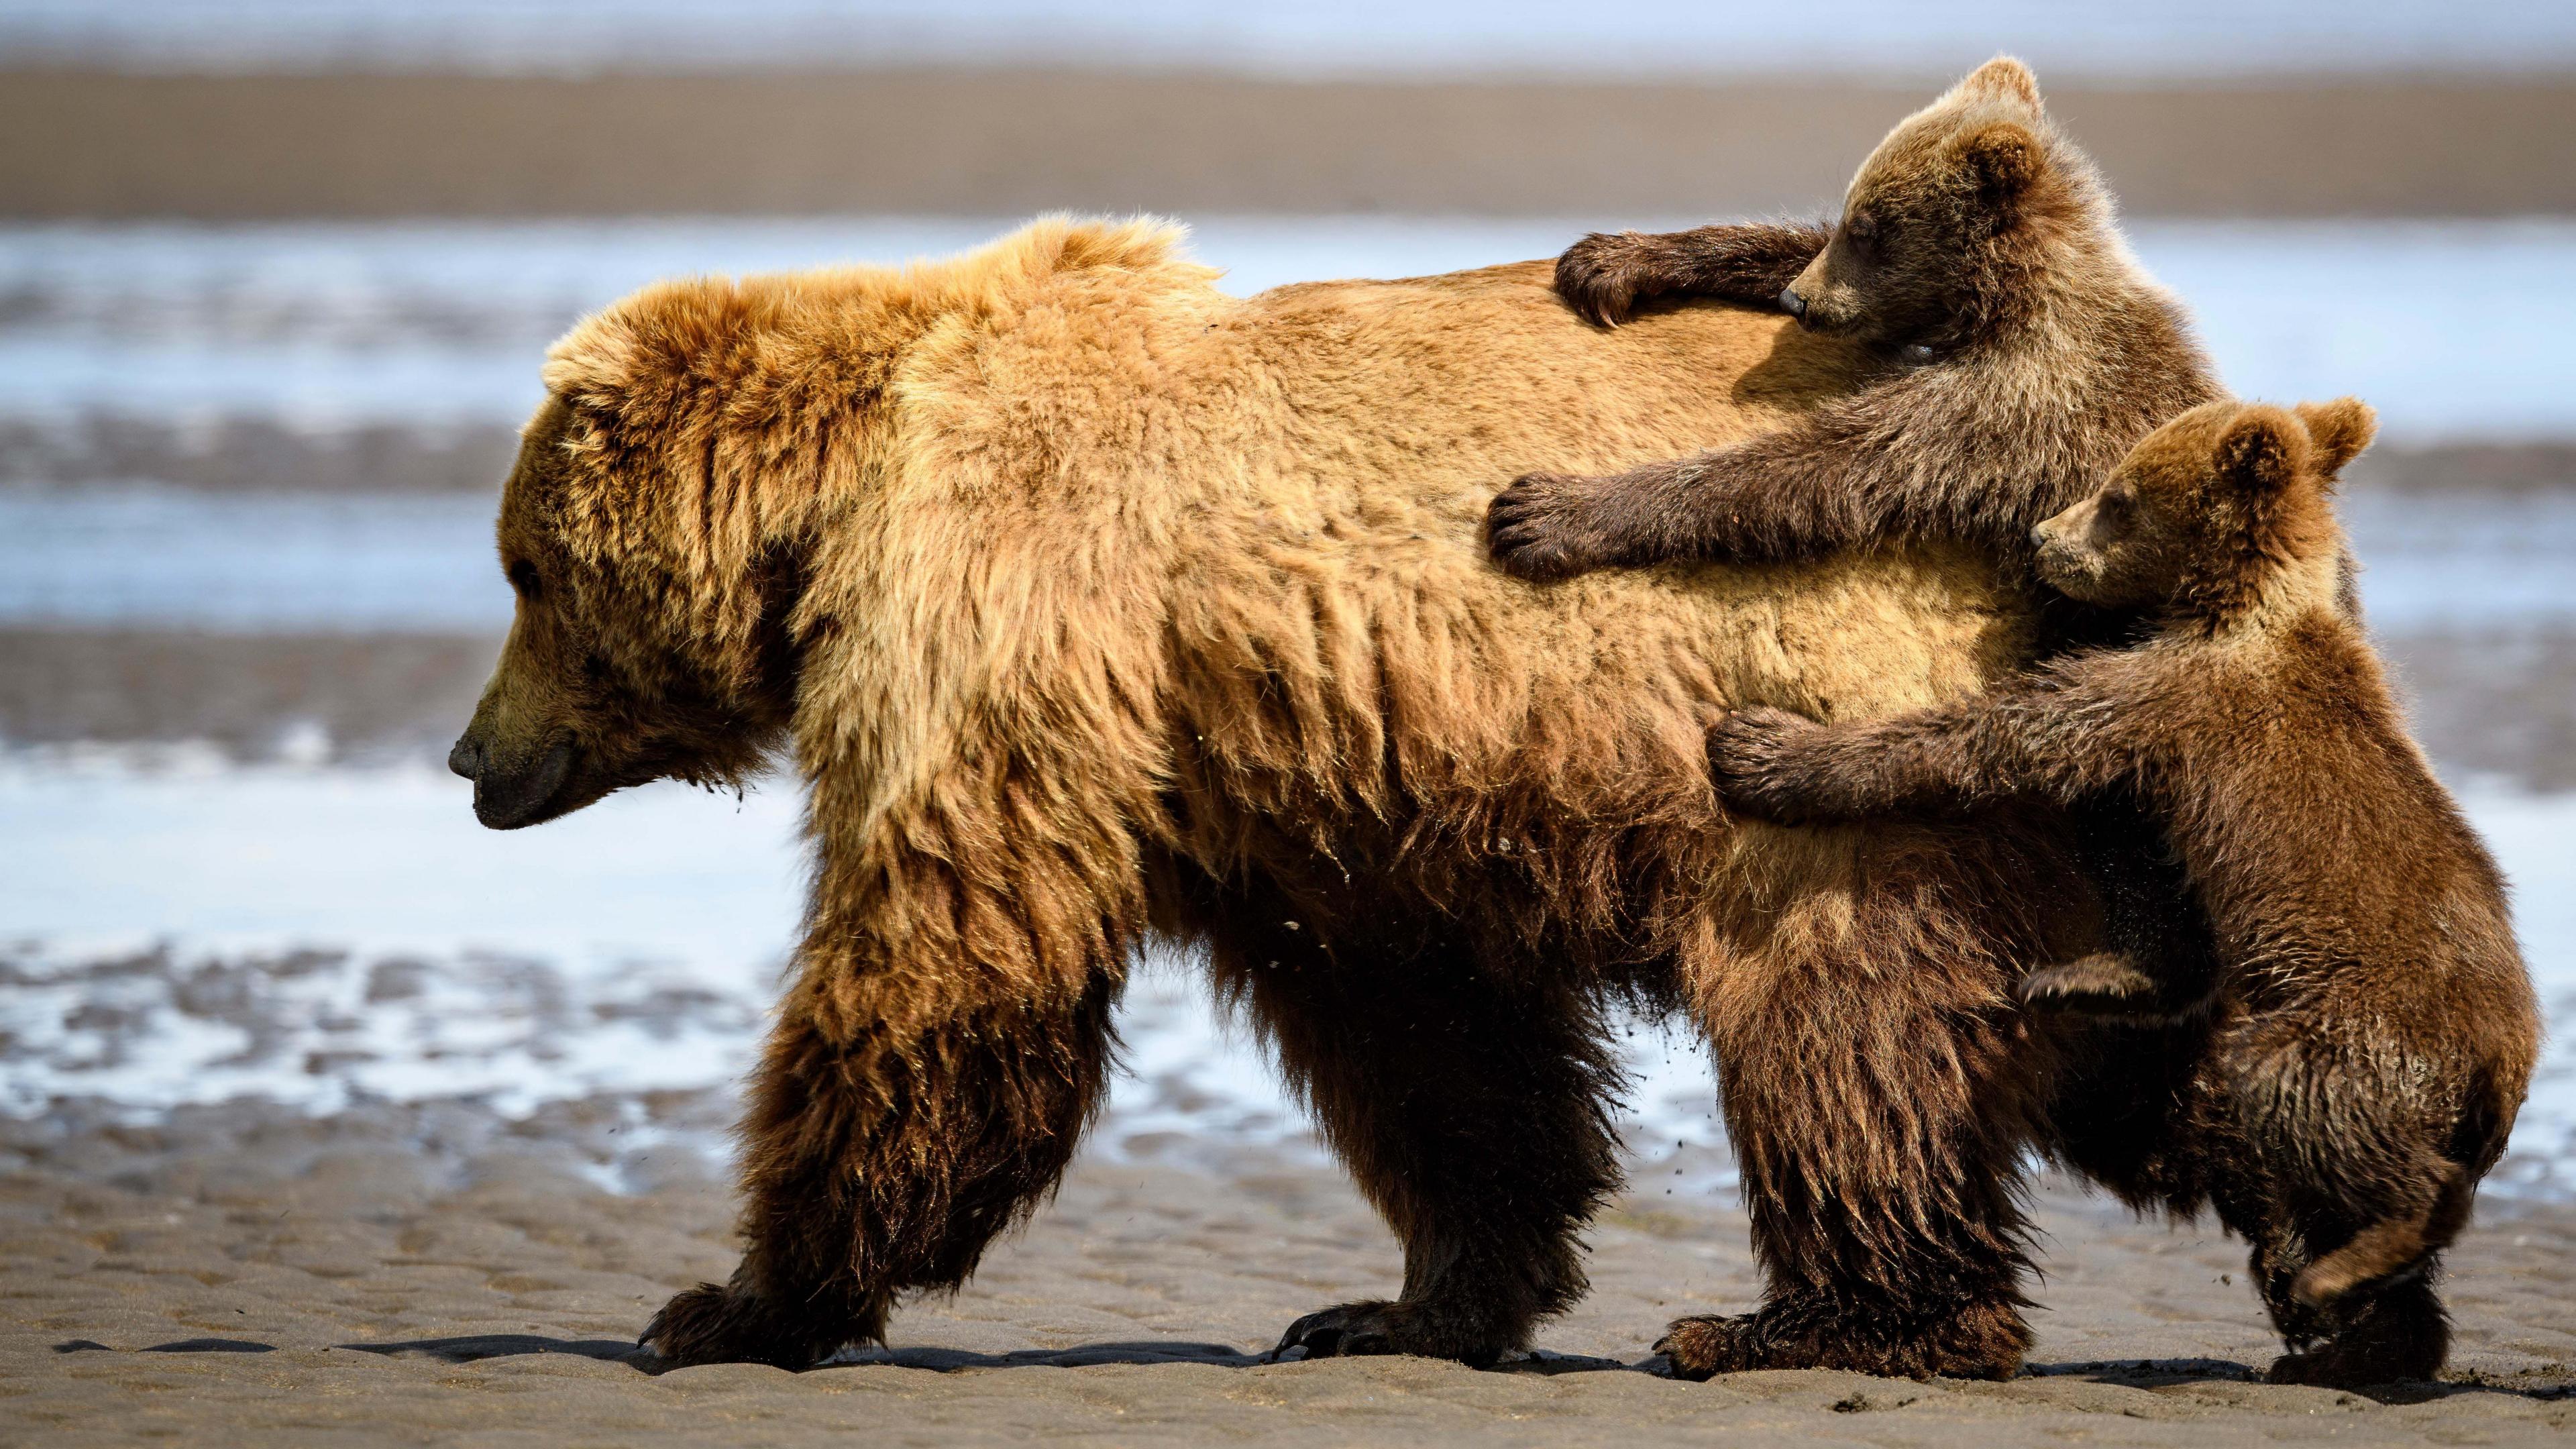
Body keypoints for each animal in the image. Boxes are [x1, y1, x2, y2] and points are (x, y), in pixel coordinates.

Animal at [453, 211, 2123, 1361]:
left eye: (522, 569)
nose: (472, 757)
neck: (848, 491)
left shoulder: (1003, 613)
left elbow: (943, 951)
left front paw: (732, 1302)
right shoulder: (1312, 799)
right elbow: (1433, 1039)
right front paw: (1408, 1303)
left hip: (1833, 730)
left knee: (1835, 1026)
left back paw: (1841, 1317)